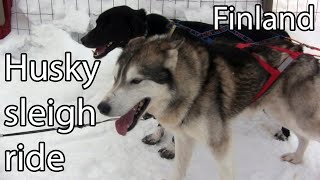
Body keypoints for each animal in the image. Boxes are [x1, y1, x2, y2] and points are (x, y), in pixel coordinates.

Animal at [81, 5, 292, 159]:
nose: (83, 39)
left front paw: (171, 149)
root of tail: (281, 32)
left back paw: (284, 134)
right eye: (98, 22)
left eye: (106, 24)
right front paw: (156, 136)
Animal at [97, 34, 320, 179]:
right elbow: (178, 171)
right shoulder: (184, 139)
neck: (194, 89)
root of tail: (307, 57)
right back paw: (296, 158)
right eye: (116, 78)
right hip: (282, 114)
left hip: (296, 117)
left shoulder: (220, 145)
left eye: (136, 80)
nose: (101, 107)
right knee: (304, 138)